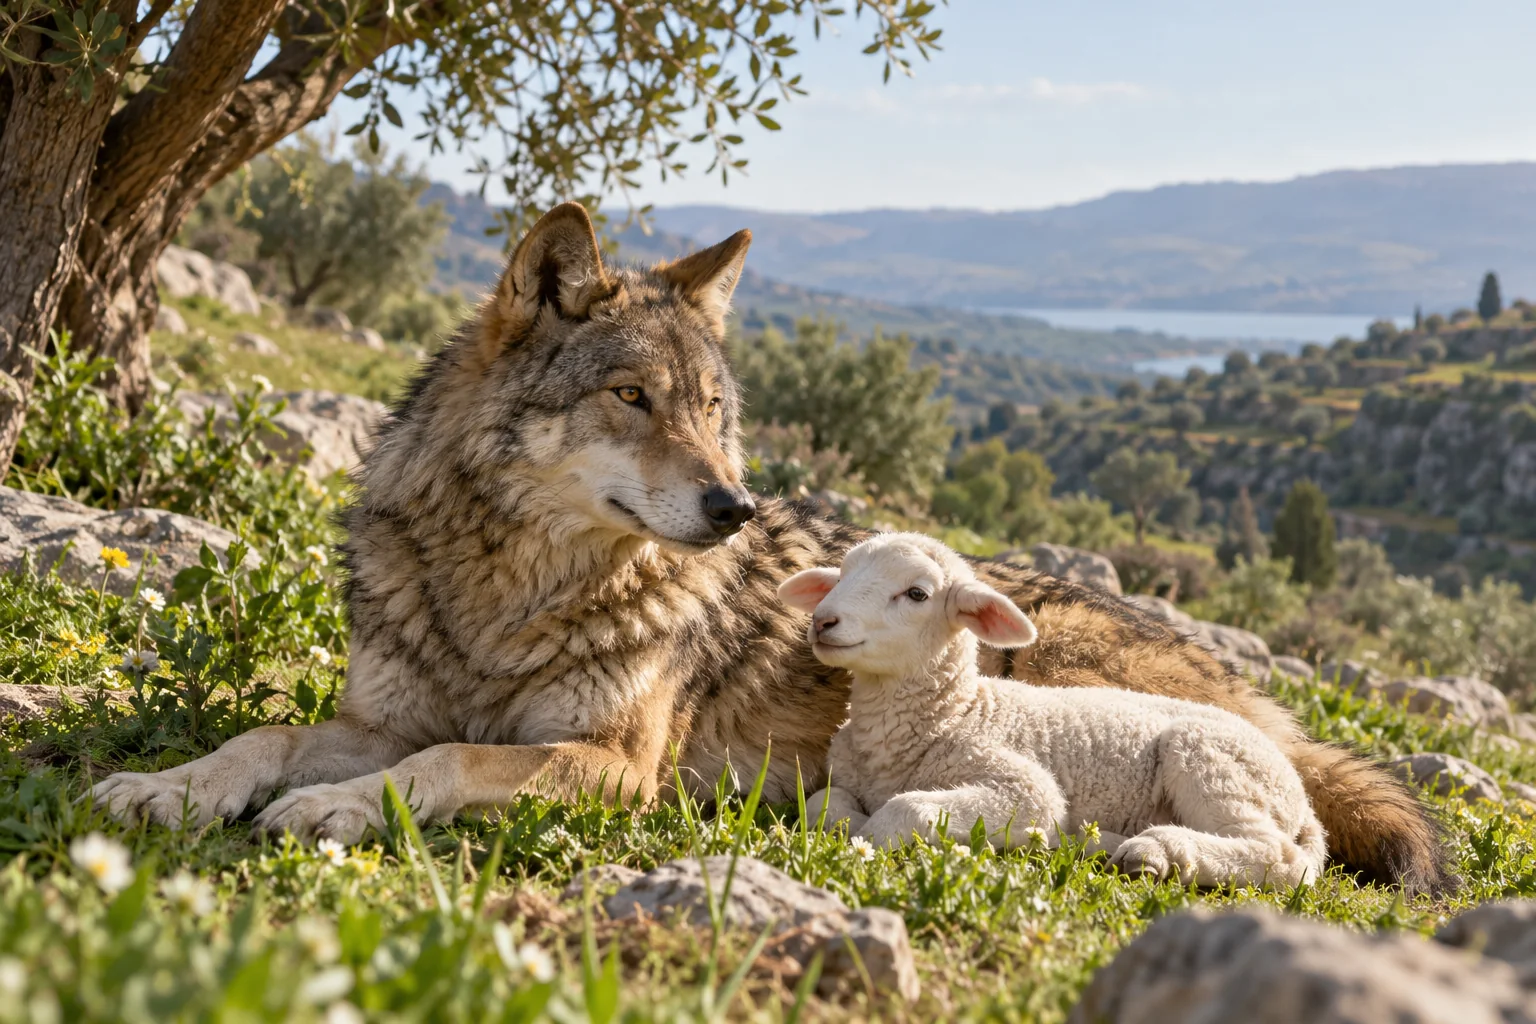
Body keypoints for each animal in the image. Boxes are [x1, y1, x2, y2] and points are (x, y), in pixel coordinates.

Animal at [93, 203, 1449, 893]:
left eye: (713, 410)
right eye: (633, 398)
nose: (736, 508)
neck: (507, 591)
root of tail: (1239, 683)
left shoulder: (612, 765)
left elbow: (442, 763)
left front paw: (330, 809)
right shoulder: (378, 711)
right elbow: (266, 733)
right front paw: (168, 786)